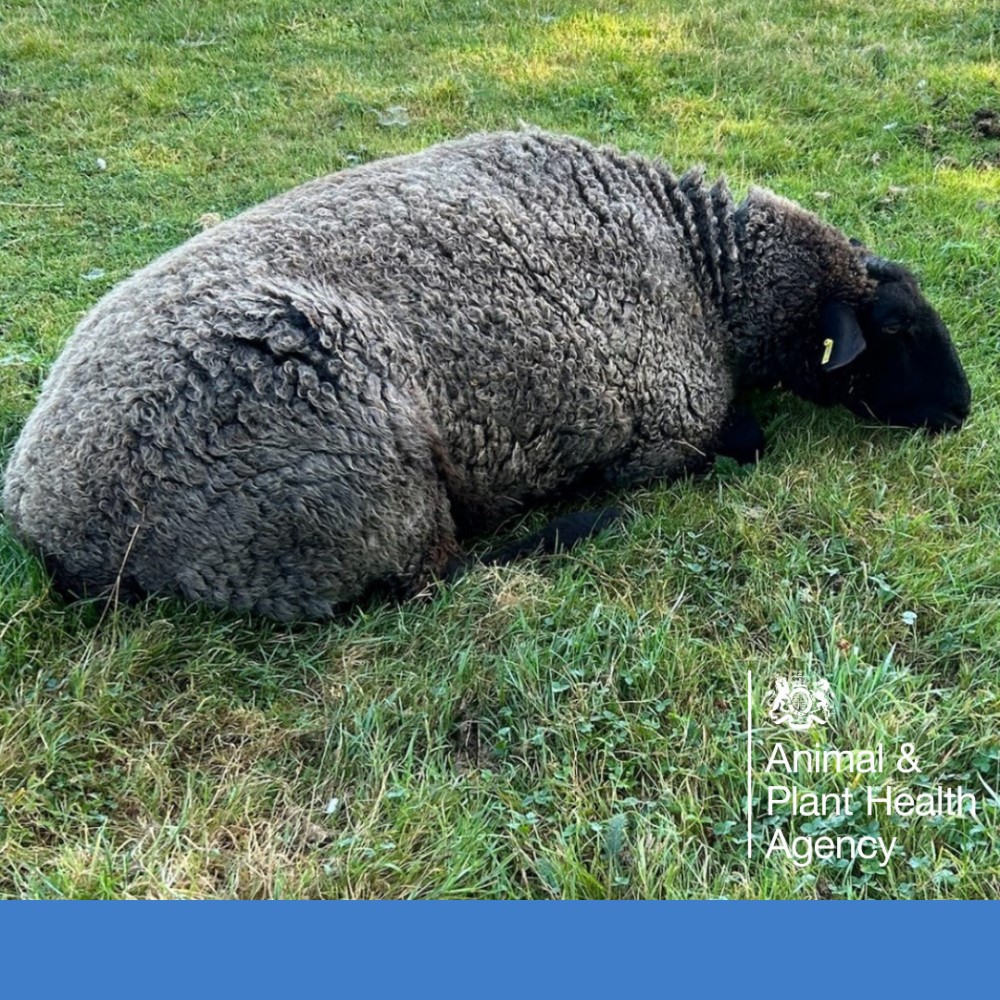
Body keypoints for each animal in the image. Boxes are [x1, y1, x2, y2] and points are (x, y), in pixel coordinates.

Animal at [0, 130, 968, 620]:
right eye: (895, 330)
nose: (961, 412)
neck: (701, 272)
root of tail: (50, 523)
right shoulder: (669, 420)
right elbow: (745, 440)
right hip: (356, 494)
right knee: (429, 578)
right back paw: (579, 521)